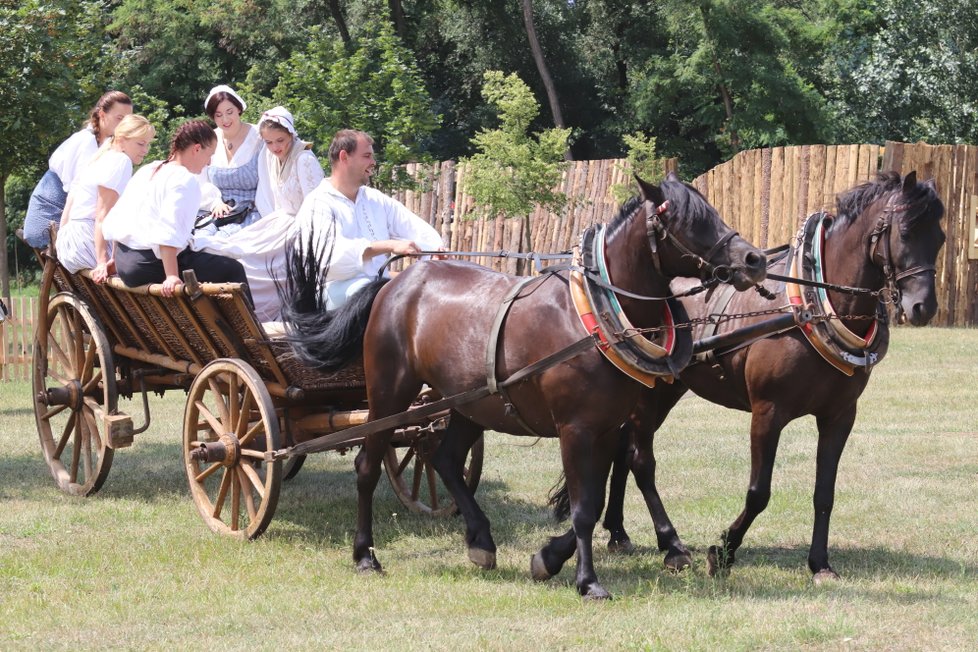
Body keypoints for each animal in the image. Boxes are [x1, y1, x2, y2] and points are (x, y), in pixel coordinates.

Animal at [282, 172, 772, 596]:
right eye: (690, 220)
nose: (755, 259)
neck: (593, 316)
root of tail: (394, 283)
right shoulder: (576, 429)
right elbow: (583, 507)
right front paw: (588, 581)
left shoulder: (607, 426)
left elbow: (597, 496)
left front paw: (549, 559)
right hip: (390, 395)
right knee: (368, 466)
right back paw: (366, 554)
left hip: (466, 404)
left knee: (444, 458)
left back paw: (480, 540)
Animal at [544, 171, 940, 584]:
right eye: (906, 233)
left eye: (941, 237)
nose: (923, 307)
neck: (811, 309)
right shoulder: (768, 412)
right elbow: (758, 492)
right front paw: (724, 551)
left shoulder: (840, 416)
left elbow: (824, 493)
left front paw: (820, 562)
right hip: (648, 396)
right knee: (639, 460)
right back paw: (668, 544)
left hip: (663, 391)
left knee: (621, 452)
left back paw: (618, 532)